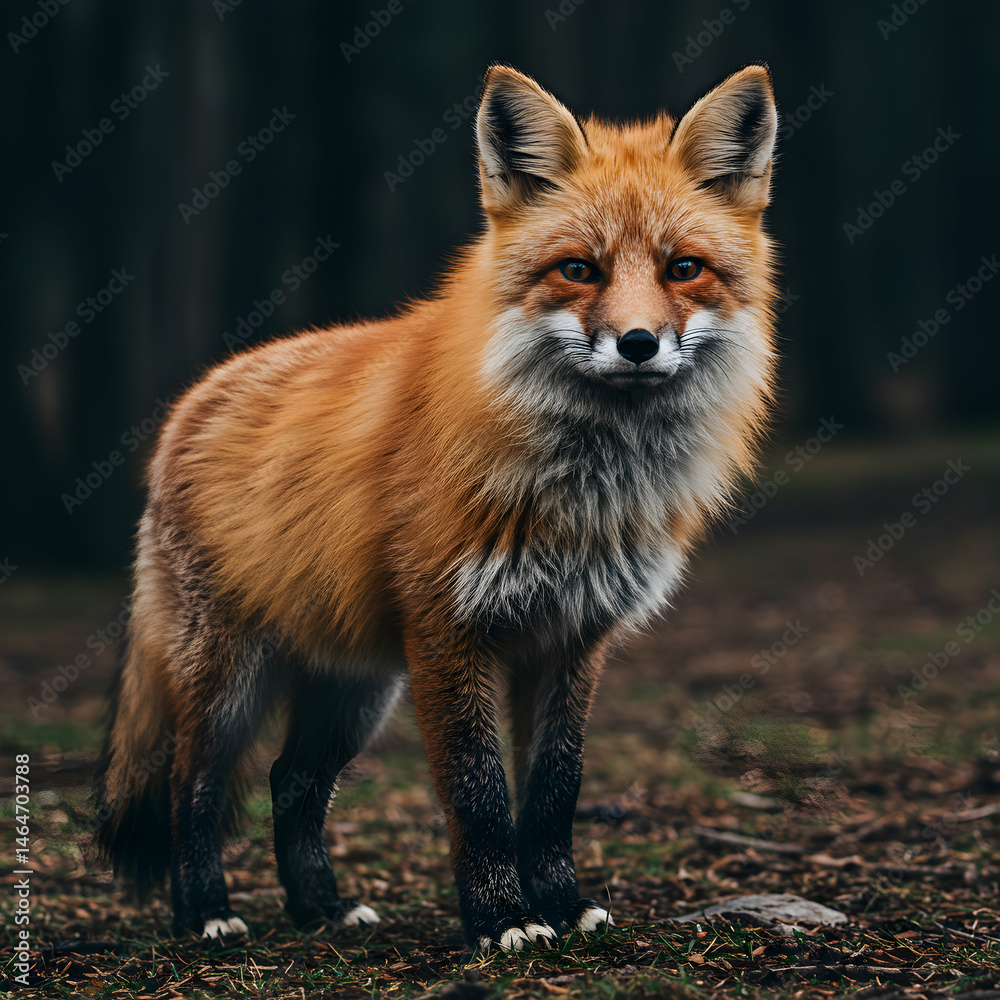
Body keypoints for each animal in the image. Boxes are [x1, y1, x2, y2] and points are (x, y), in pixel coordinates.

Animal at [93, 64, 779, 952]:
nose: (637, 343)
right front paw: (503, 921)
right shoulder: (451, 633)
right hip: (228, 678)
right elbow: (479, 796)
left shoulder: (574, 639)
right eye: (579, 270)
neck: (584, 490)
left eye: (684, 268)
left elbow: (553, 795)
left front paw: (562, 905)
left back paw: (321, 907)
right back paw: (203, 910)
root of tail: (192, 399)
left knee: (290, 781)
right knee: (191, 785)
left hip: (355, 689)